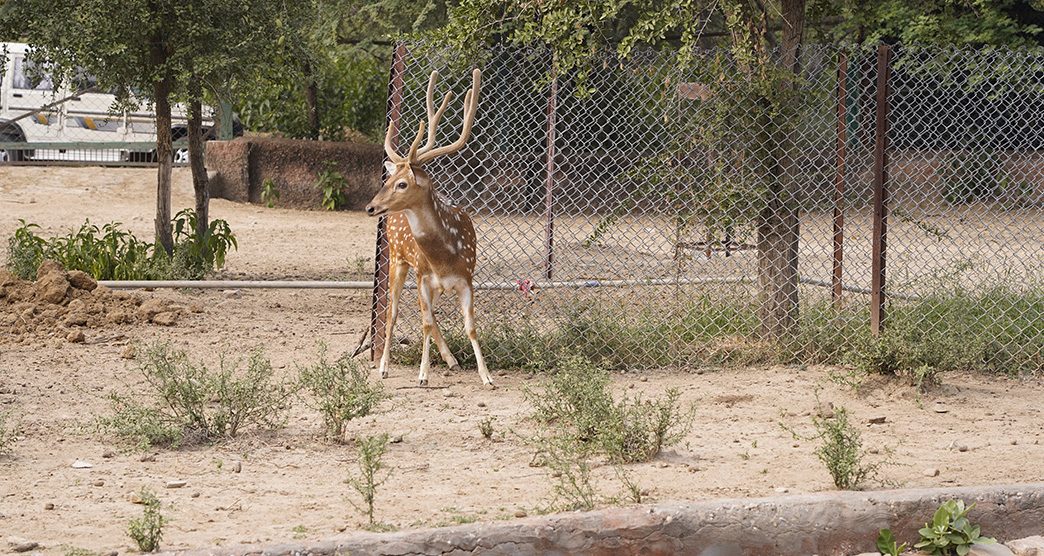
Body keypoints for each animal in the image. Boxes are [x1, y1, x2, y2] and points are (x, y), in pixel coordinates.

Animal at [367, 67, 492, 385]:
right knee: (394, 314)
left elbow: (470, 326)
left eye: (402, 183)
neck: (444, 257)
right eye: (387, 179)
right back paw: (384, 366)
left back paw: (451, 359)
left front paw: (486, 375)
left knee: (428, 313)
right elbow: (422, 322)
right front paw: (422, 375)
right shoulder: (423, 274)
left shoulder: (466, 278)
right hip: (398, 260)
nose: (370, 207)